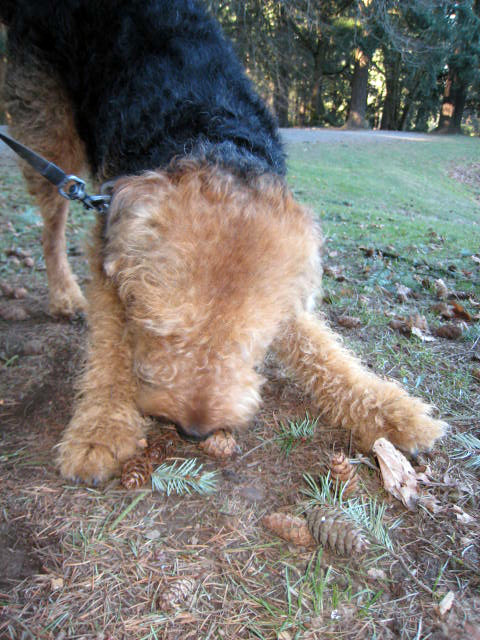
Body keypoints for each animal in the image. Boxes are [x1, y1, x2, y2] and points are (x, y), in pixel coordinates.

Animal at [0, 0, 446, 480]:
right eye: (162, 330)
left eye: (247, 341)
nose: (194, 431)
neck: (210, 137)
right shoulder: (108, 246)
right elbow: (110, 344)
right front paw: (100, 428)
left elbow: (320, 346)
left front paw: (391, 410)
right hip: (50, 134)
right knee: (51, 227)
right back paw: (64, 294)